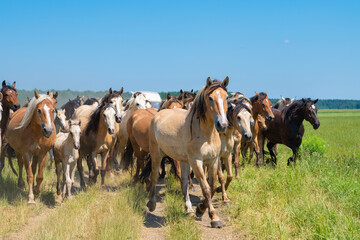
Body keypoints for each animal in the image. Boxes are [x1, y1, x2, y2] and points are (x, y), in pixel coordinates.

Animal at [148, 77, 229, 229]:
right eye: (210, 98)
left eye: (226, 97)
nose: (222, 125)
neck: (205, 134)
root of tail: (158, 115)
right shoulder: (197, 161)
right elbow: (206, 188)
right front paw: (214, 218)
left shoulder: (213, 161)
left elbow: (212, 186)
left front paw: (200, 209)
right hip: (157, 154)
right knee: (154, 175)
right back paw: (151, 203)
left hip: (184, 160)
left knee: (184, 181)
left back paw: (189, 209)